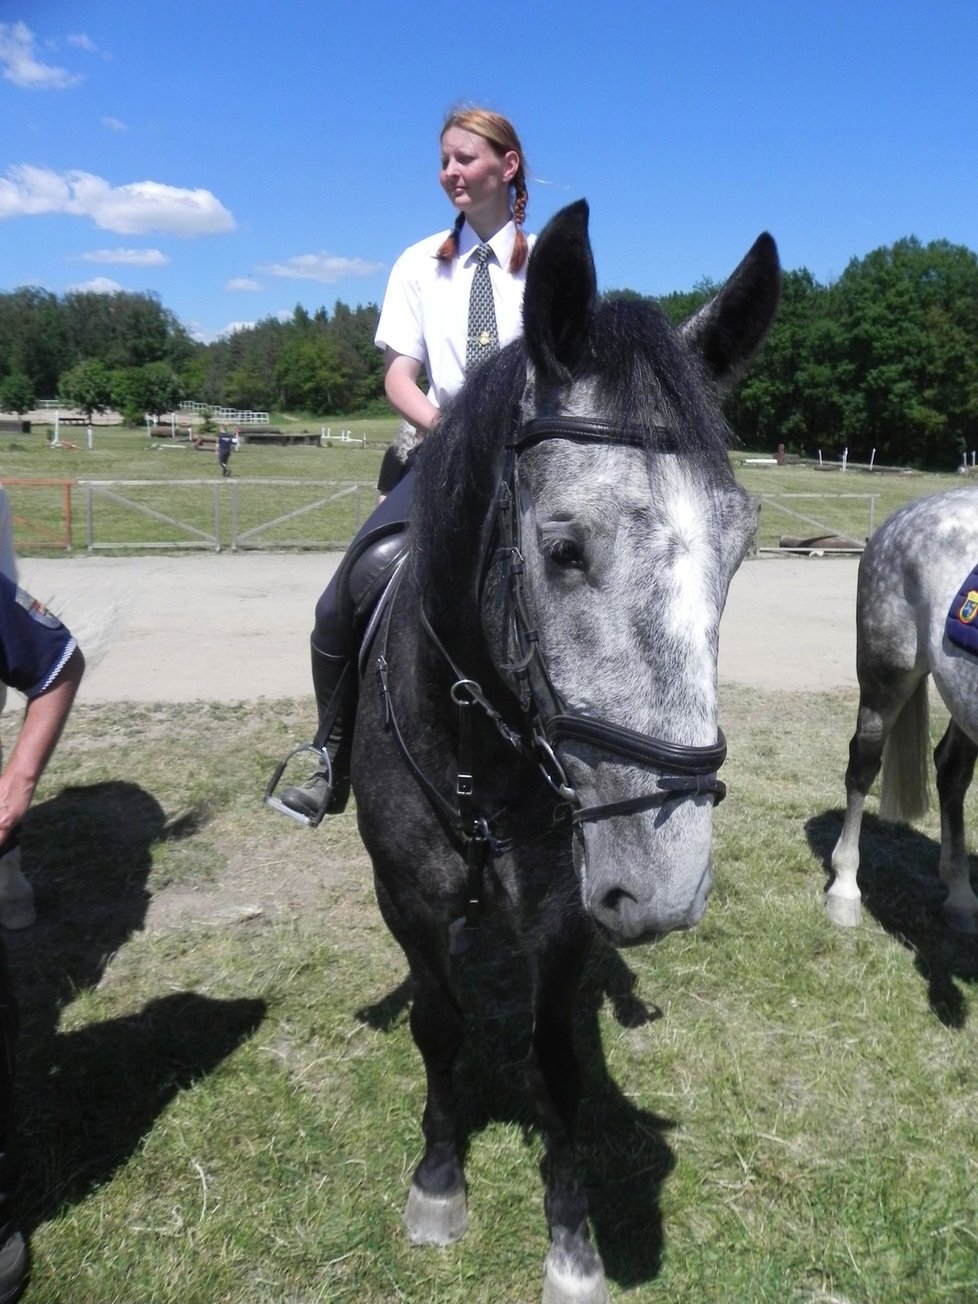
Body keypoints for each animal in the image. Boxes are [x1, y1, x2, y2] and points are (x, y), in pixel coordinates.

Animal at [352, 203, 782, 1304]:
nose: (664, 891)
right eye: (562, 549)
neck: (476, 746)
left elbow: (555, 1063)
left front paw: (572, 1240)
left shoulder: (558, 916)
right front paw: (438, 1182)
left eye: (739, 552)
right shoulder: (407, 899)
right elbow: (439, 1026)